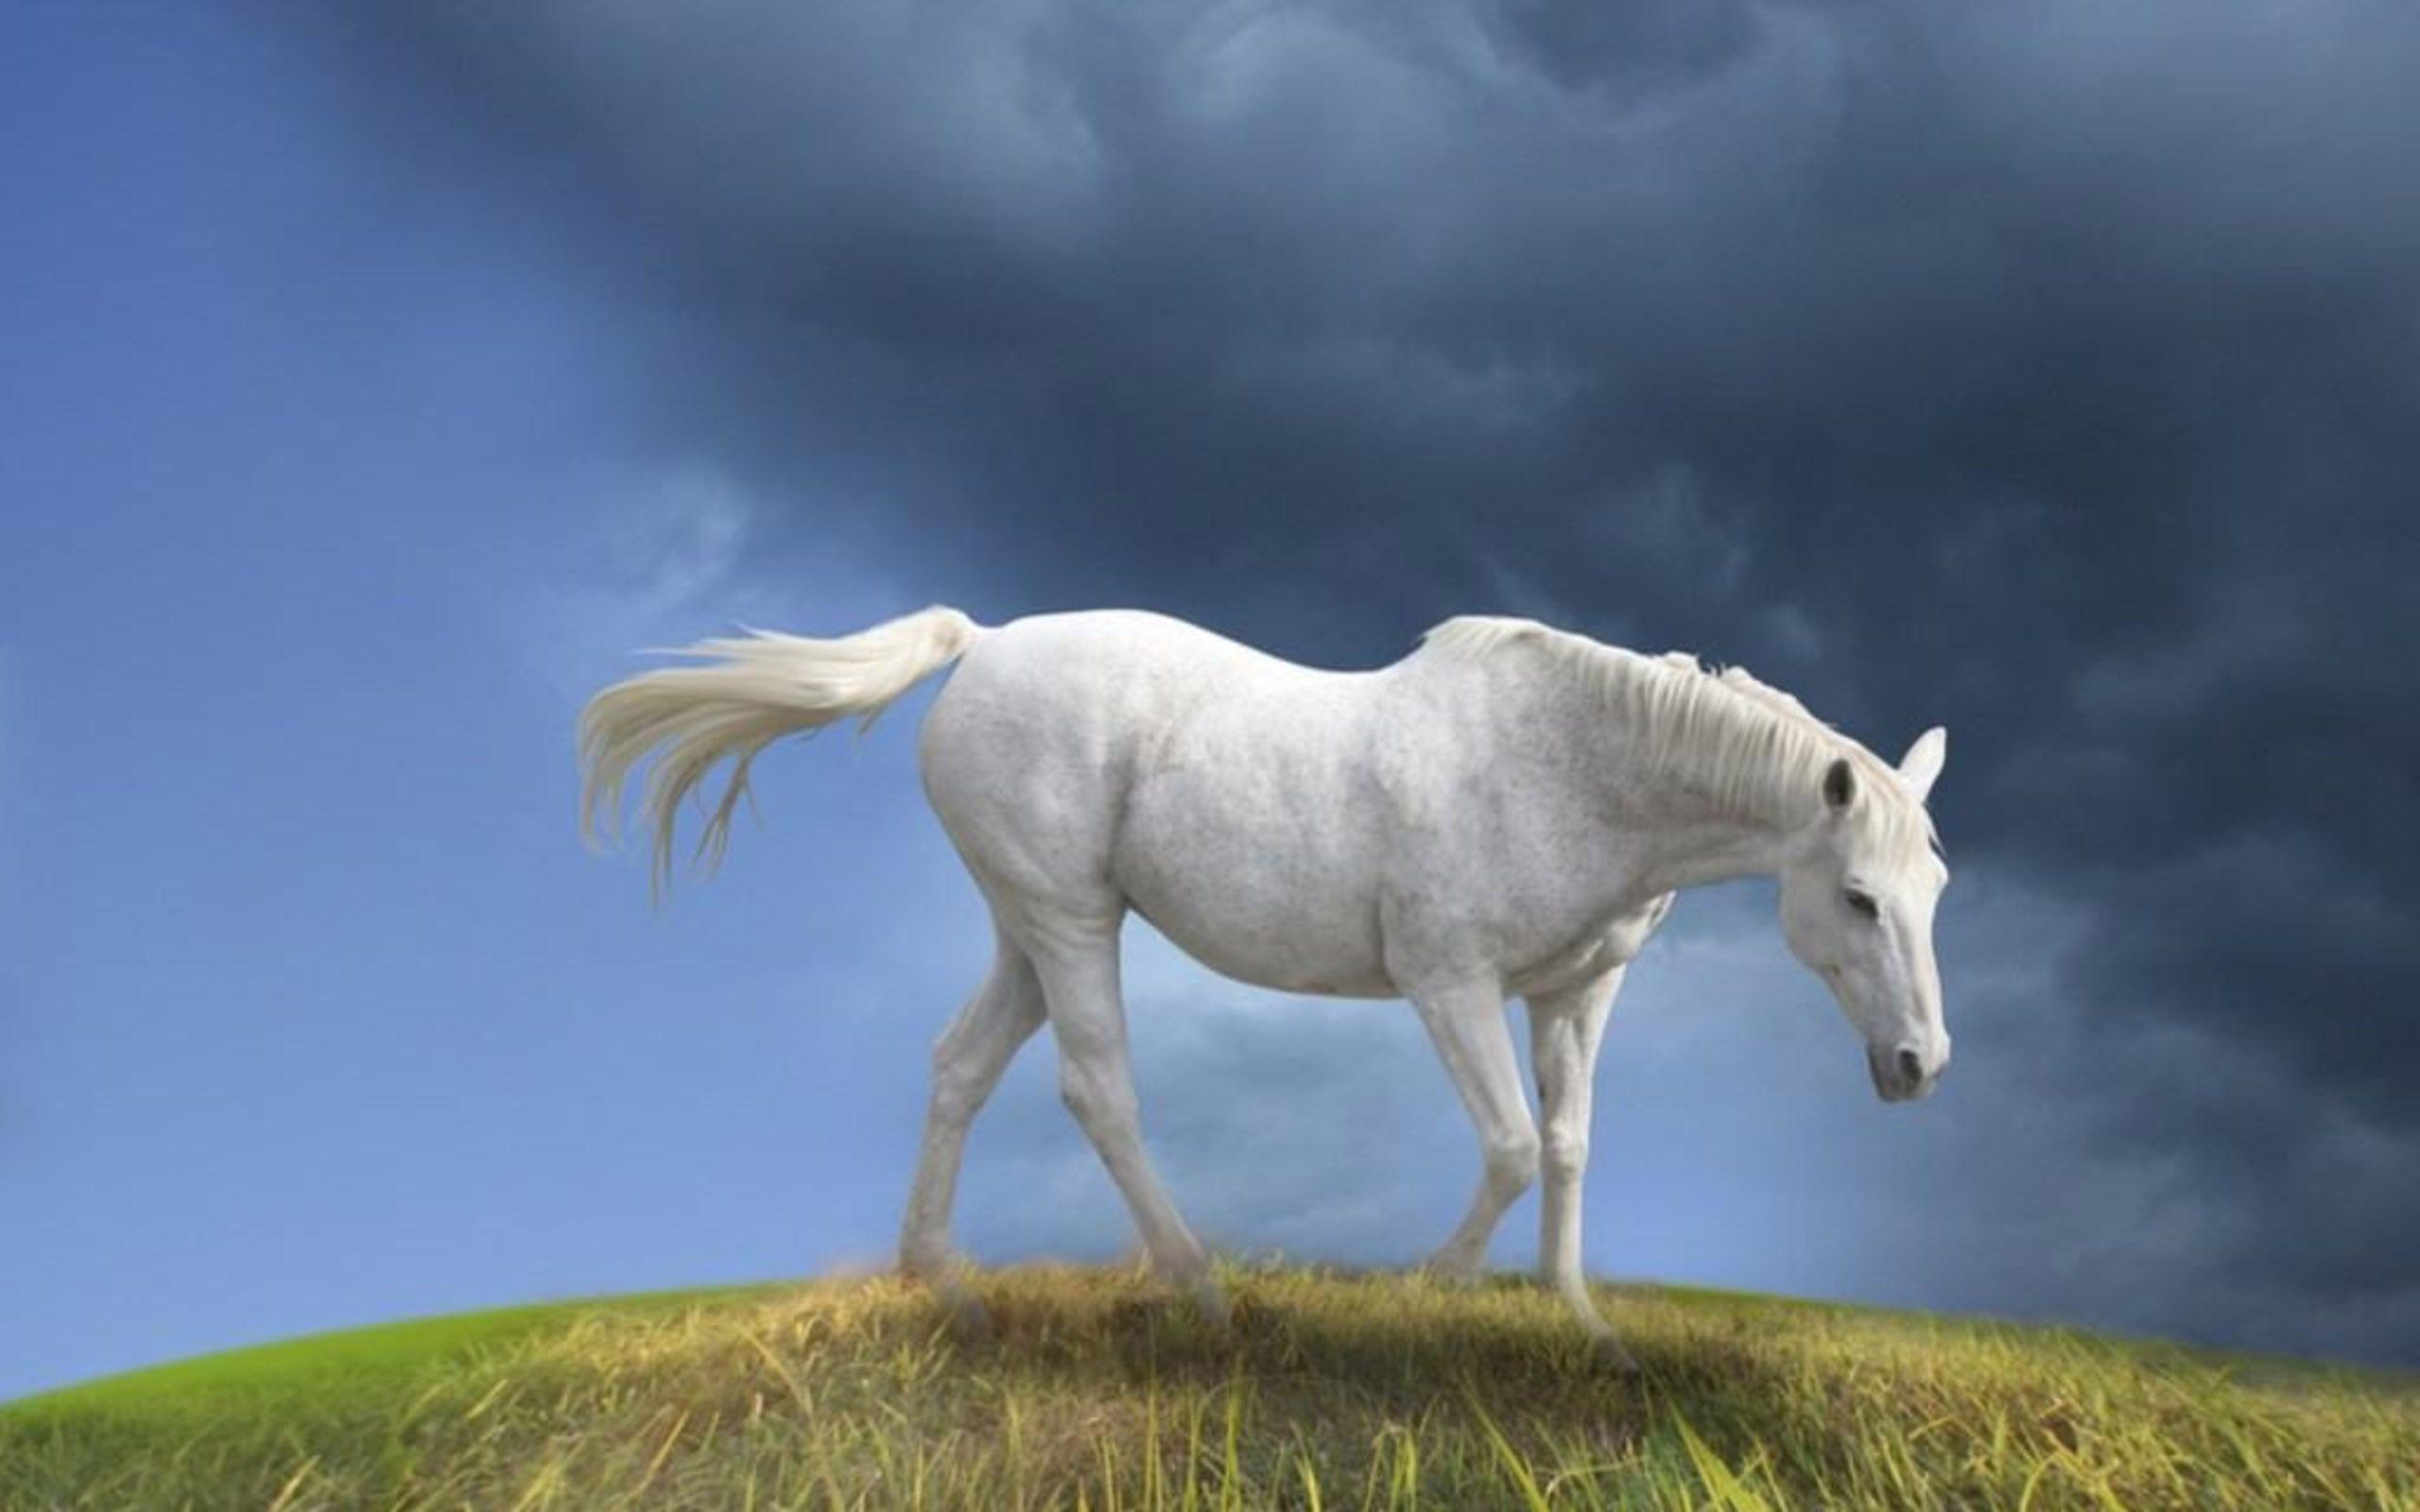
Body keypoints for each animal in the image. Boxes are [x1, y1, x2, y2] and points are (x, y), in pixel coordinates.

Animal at [578, 605, 1951, 1366]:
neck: (1572, 767)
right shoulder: (1449, 981)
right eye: (1858, 898)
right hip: (1071, 920)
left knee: (960, 1066)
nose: (1919, 1067)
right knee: (1098, 1089)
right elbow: (1511, 1146)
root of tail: (983, 646)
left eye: (1935, 888)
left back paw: (949, 1292)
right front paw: (1428, 1293)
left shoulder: (1574, 994)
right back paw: (1204, 1296)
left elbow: (1565, 1149)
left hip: (1026, 926)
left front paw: (1584, 1333)